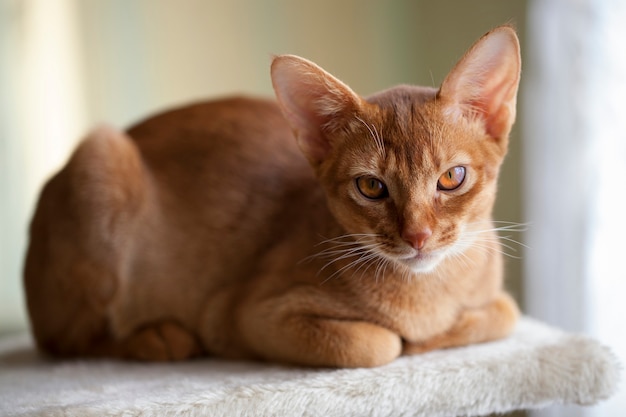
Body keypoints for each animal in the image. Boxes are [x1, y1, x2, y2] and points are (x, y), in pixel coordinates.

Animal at [24, 25, 520, 368]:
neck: (430, 291)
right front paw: (414, 341)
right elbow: (378, 343)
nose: (417, 237)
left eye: (452, 178)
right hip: (100, 159)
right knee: (62, 341)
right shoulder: (242, 315)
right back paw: (158, 339)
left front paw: (437, 335)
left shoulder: (497, 299)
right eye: (371, 187)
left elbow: (506, 311)